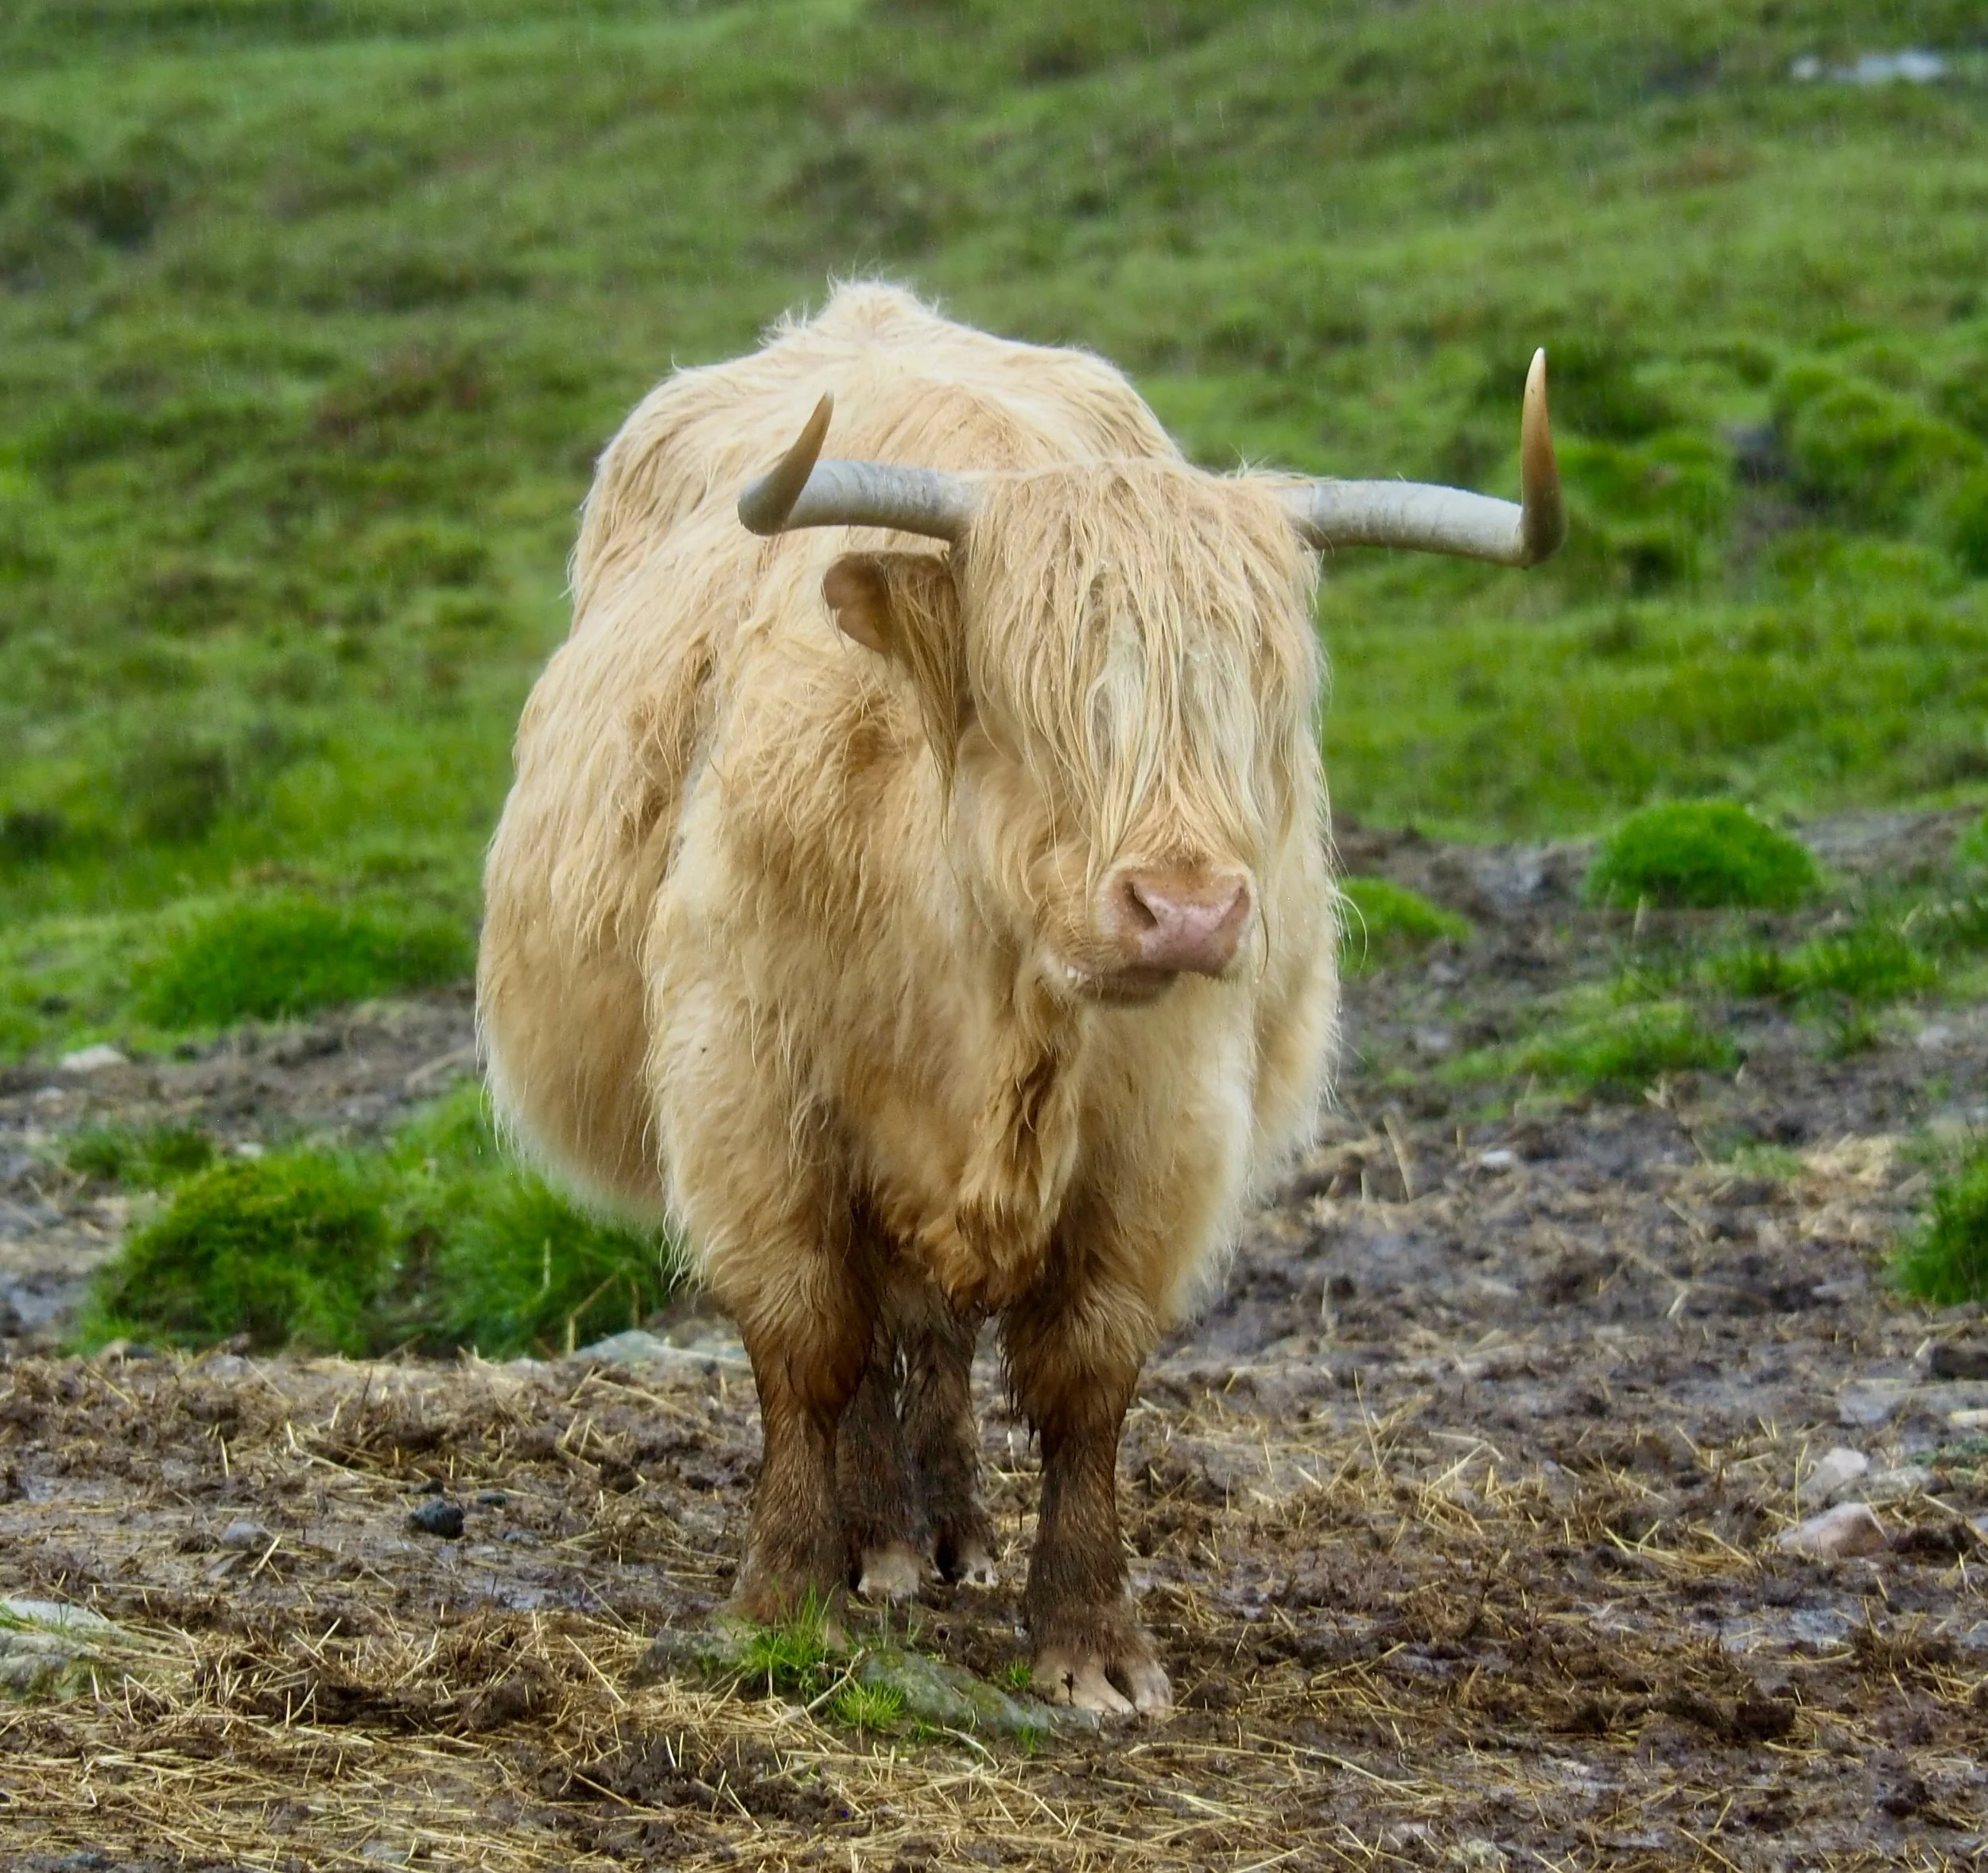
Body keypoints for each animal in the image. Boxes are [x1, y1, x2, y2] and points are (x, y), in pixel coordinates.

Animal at [478, 283, 1562, 1715]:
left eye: (1253, 701)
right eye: (1037, 694)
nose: (1189, 910)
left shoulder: (1161, 1134)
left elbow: (1086, 1378)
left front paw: (1092, 1641)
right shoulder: (749, 1095)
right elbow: (807, 1344)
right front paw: (780, 1600)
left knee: (929, 1329)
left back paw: (940, 1532)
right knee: (879, 1332)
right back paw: (876, 1539)